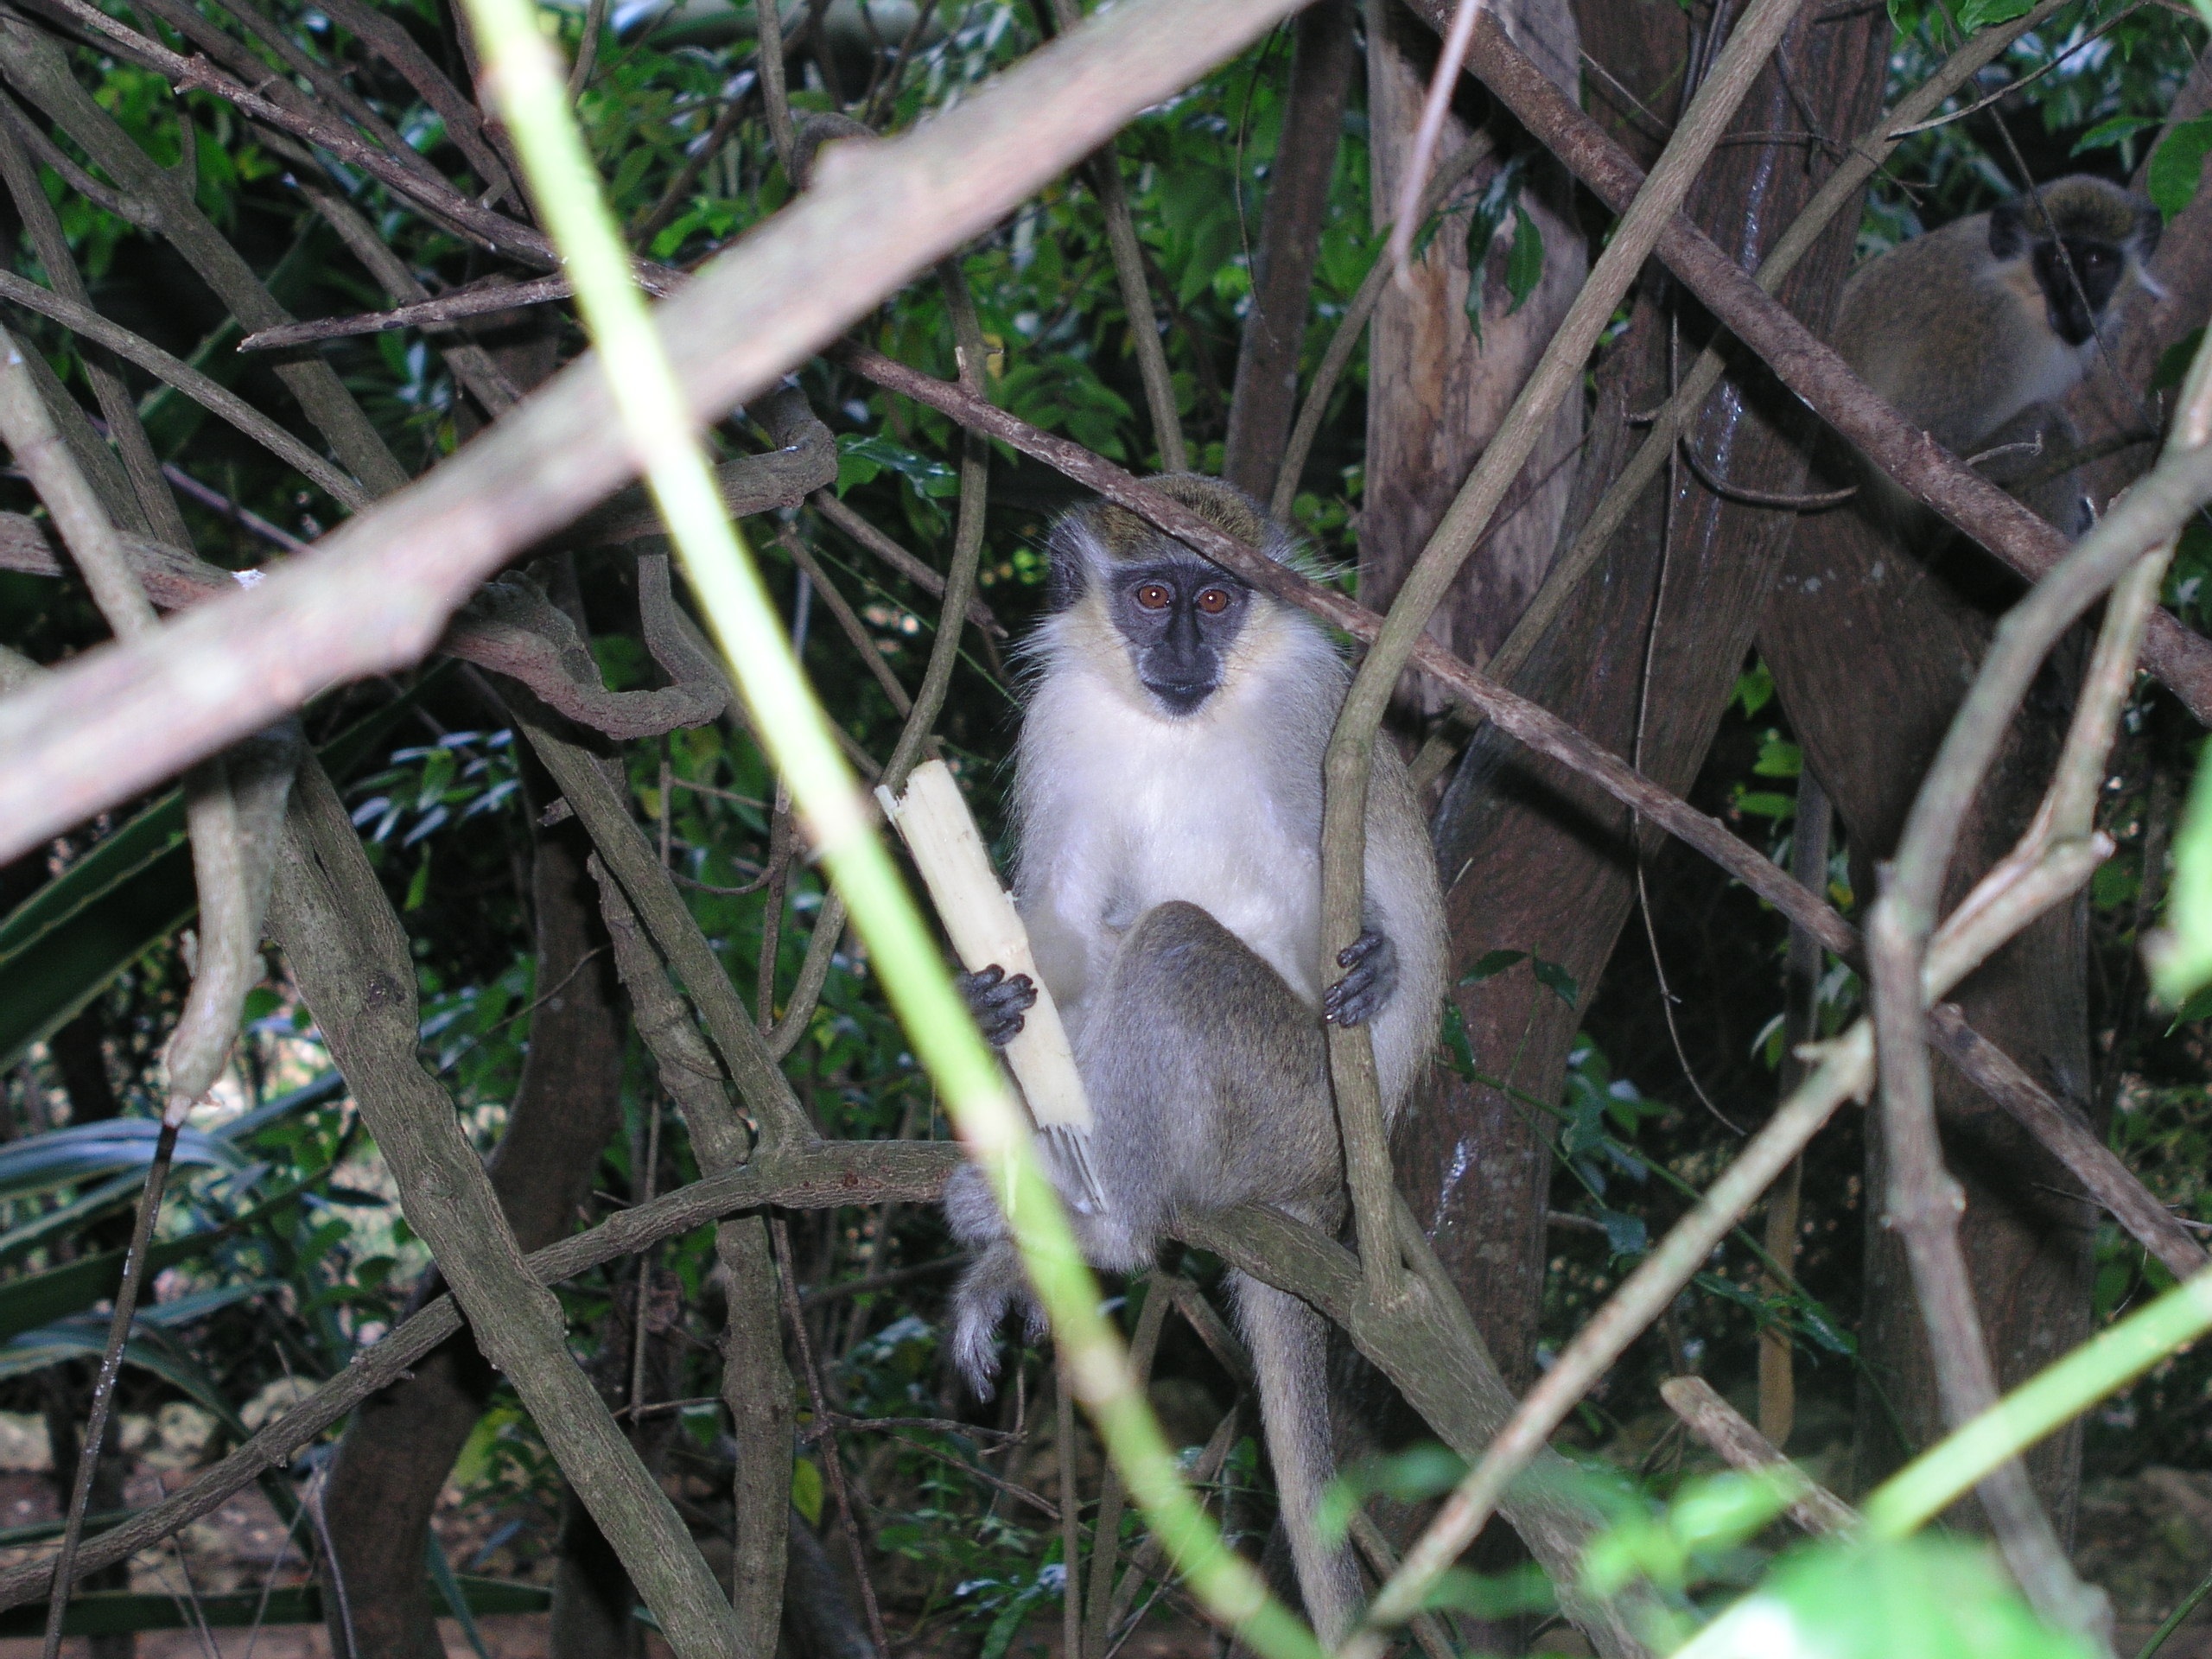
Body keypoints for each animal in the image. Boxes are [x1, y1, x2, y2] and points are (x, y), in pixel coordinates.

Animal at [946, 473, 1451, 1645]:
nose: (1181, 649)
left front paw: (1383, 966)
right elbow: (1066, 928)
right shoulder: (1061, 721)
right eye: (1152, 593)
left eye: (1217, 599)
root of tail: (1322, 1201)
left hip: (1287, 1118)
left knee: (1174, 949)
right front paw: (985, 1002)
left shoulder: (1315, 727)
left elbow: (1351, 918)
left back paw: (1102, 1229)